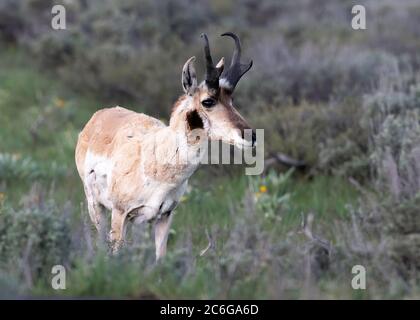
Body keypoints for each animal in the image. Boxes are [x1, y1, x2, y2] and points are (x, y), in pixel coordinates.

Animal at [74, 32, 254, 260]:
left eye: (231, 99)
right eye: (208, 101)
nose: (251, 135)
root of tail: (101, 115)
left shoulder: (164, 217)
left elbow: (160, 257)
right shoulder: (120, 213)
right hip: (96, 207)